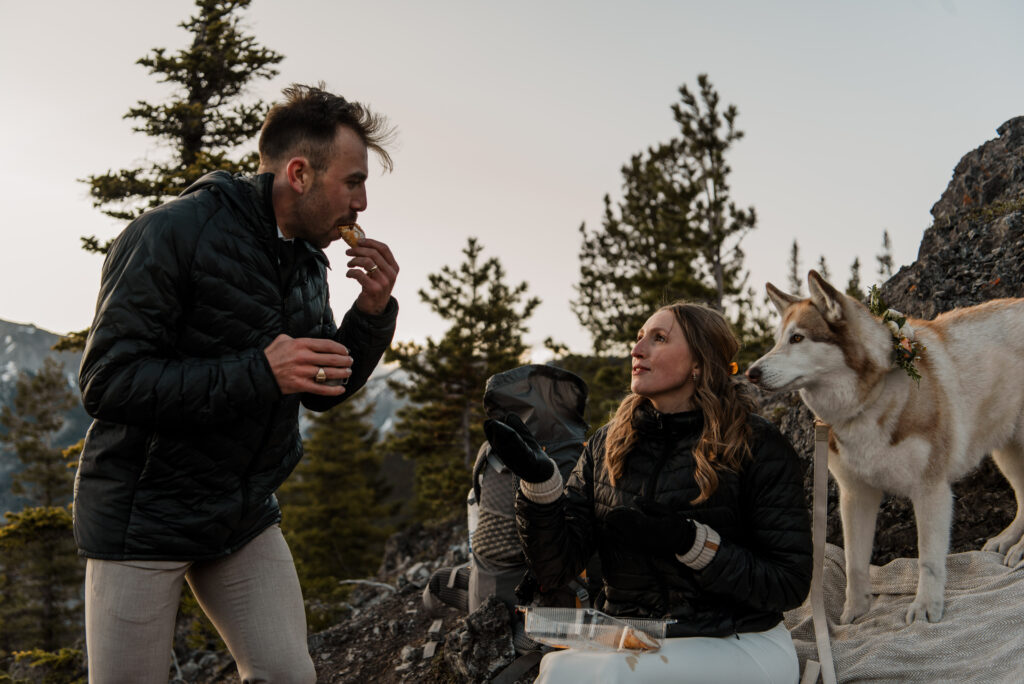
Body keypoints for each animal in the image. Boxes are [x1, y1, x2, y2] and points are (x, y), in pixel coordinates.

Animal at [745, 270, 1024, 622]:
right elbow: (854, 563)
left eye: (798, 338)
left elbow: (929, 560)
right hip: (1007, 451)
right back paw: (1007, 542)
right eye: (777, 340)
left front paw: (925, 607)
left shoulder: (931, 490)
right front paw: (855, 612)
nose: (751, 373)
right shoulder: (856, 494)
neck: (868, 402)